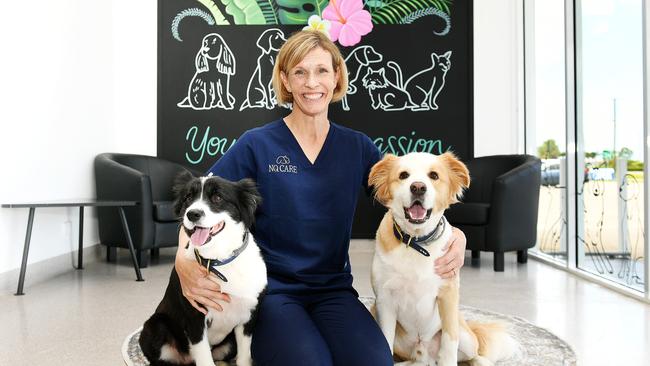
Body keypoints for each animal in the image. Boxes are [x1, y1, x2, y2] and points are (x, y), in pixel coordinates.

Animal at [139, 174, 266, 366]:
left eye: (218, 197)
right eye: (188, 198)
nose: (192, 214)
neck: (219, 261)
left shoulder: (249, 315)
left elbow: (244, 356)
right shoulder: (195, 317)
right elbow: (205, 357)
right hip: (155, 326)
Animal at [368, 152, 512, 366]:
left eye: (434, 175)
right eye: (403, 175)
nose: (418, 187)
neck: (416, 242)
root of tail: (425, 354)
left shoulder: (448, 295)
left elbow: (449, 344)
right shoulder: (385, 300)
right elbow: (384, 340)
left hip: (466, 337)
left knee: (473, 355)